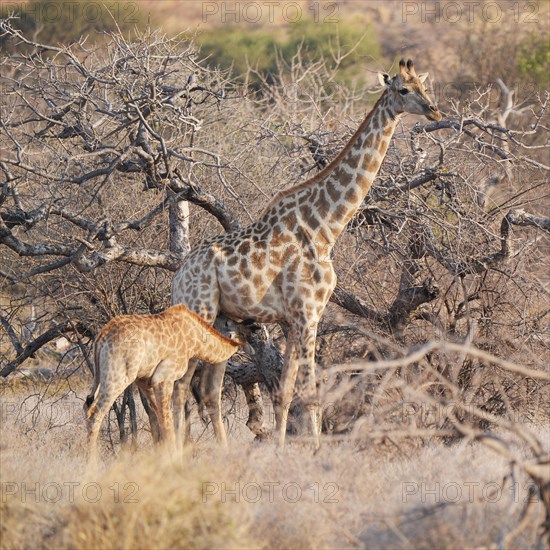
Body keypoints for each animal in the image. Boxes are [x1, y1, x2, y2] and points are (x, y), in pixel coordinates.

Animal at [83, 306, 242, 466]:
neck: (195, 338)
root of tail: (101, 338)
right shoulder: (164, 377)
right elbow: (167, 422)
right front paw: (173, 462)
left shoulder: (144, 380)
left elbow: (160, 418)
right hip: (118, 376)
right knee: (95, 412)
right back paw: (92, 465)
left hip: (104, 376)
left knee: (87, 406)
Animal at [172, 59, 444, 448]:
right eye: (404, 90)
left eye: (424, 85)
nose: (435, 110)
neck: (326, 228)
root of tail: (178, 277)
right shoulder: (308, 314)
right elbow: (311, 393)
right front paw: (313, 451)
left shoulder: (292, 320)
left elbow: (285, 392)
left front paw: (282, 449)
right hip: (200, 312)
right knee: (179, 386)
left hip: (223, 323)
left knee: (206, 390)